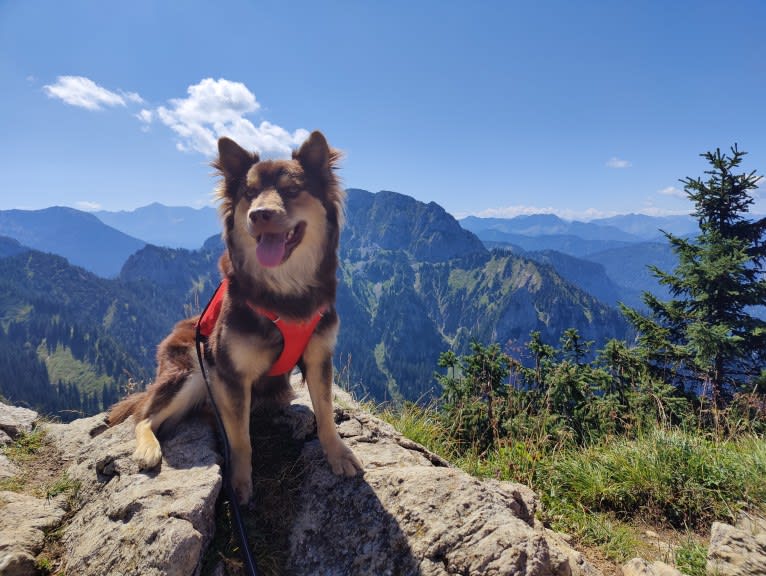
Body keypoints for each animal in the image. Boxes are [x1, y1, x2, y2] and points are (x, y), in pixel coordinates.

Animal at [107, 130, 366, 504]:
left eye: (291, 190)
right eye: (249, 193)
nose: (259, 214)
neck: (285, 293)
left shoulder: (319, 355)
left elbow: (327, 413)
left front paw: (338, 453)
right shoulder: (230, 373)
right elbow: (241, 438)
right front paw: (240, 483)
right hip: (193, 367)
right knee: (144, 415)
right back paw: (148, 447)